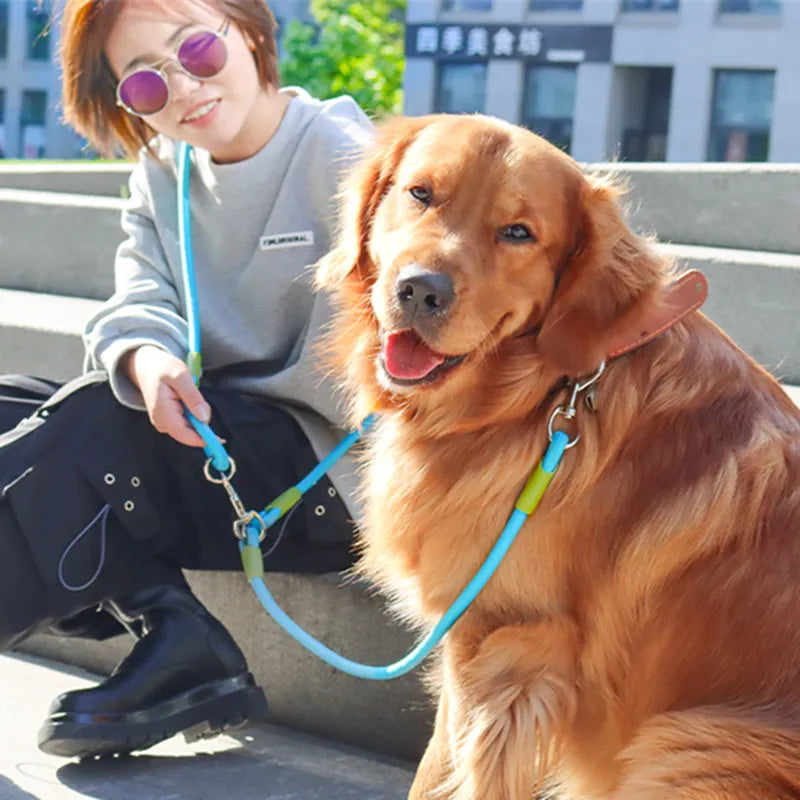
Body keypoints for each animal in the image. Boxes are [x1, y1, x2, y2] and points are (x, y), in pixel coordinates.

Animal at [316, 114, 800, 800]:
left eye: (519, 233)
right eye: (420, 194)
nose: (419, 292)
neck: (546, 392)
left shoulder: (506, 643)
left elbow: (445, 772)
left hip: (686, 744)